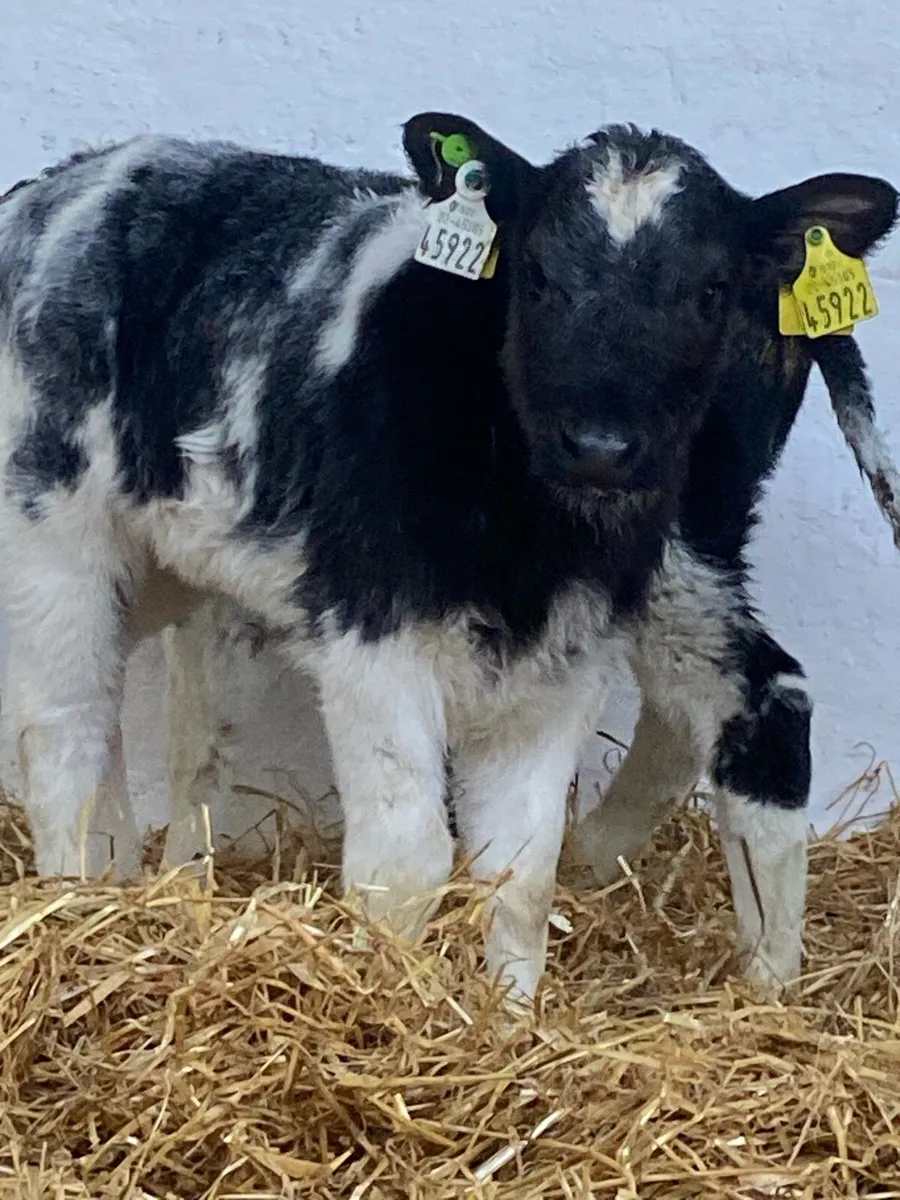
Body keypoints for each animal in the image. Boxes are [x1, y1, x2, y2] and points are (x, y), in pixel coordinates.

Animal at [0, 114, 894, 1001]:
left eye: (709, 291)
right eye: (536, 275)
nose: (600, 447)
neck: (524, 544)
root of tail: (54, 189)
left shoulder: (567, 657)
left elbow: (518, 873)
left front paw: (509, 1020)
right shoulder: (373, 631)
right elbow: (405, 864)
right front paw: (387, 1005)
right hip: (54, 525)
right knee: (70, 729)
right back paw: (85, 900)